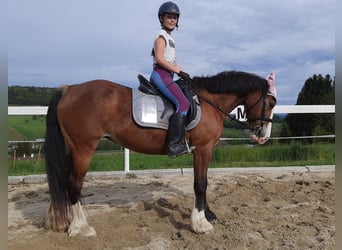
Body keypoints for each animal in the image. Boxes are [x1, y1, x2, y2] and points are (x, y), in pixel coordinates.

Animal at [43, 70, 278, 236]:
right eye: (271, 102)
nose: (264, 136)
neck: (209, 102)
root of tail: (69, 89)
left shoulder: (202, 151)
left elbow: (202, 182)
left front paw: (208, 215)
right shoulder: (204, 149)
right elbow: (200, 184)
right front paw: (200, 224)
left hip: (70, 149)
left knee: (61, 181)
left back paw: (58, 221)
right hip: (83, 148)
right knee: (73, 185)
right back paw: (81, 228)